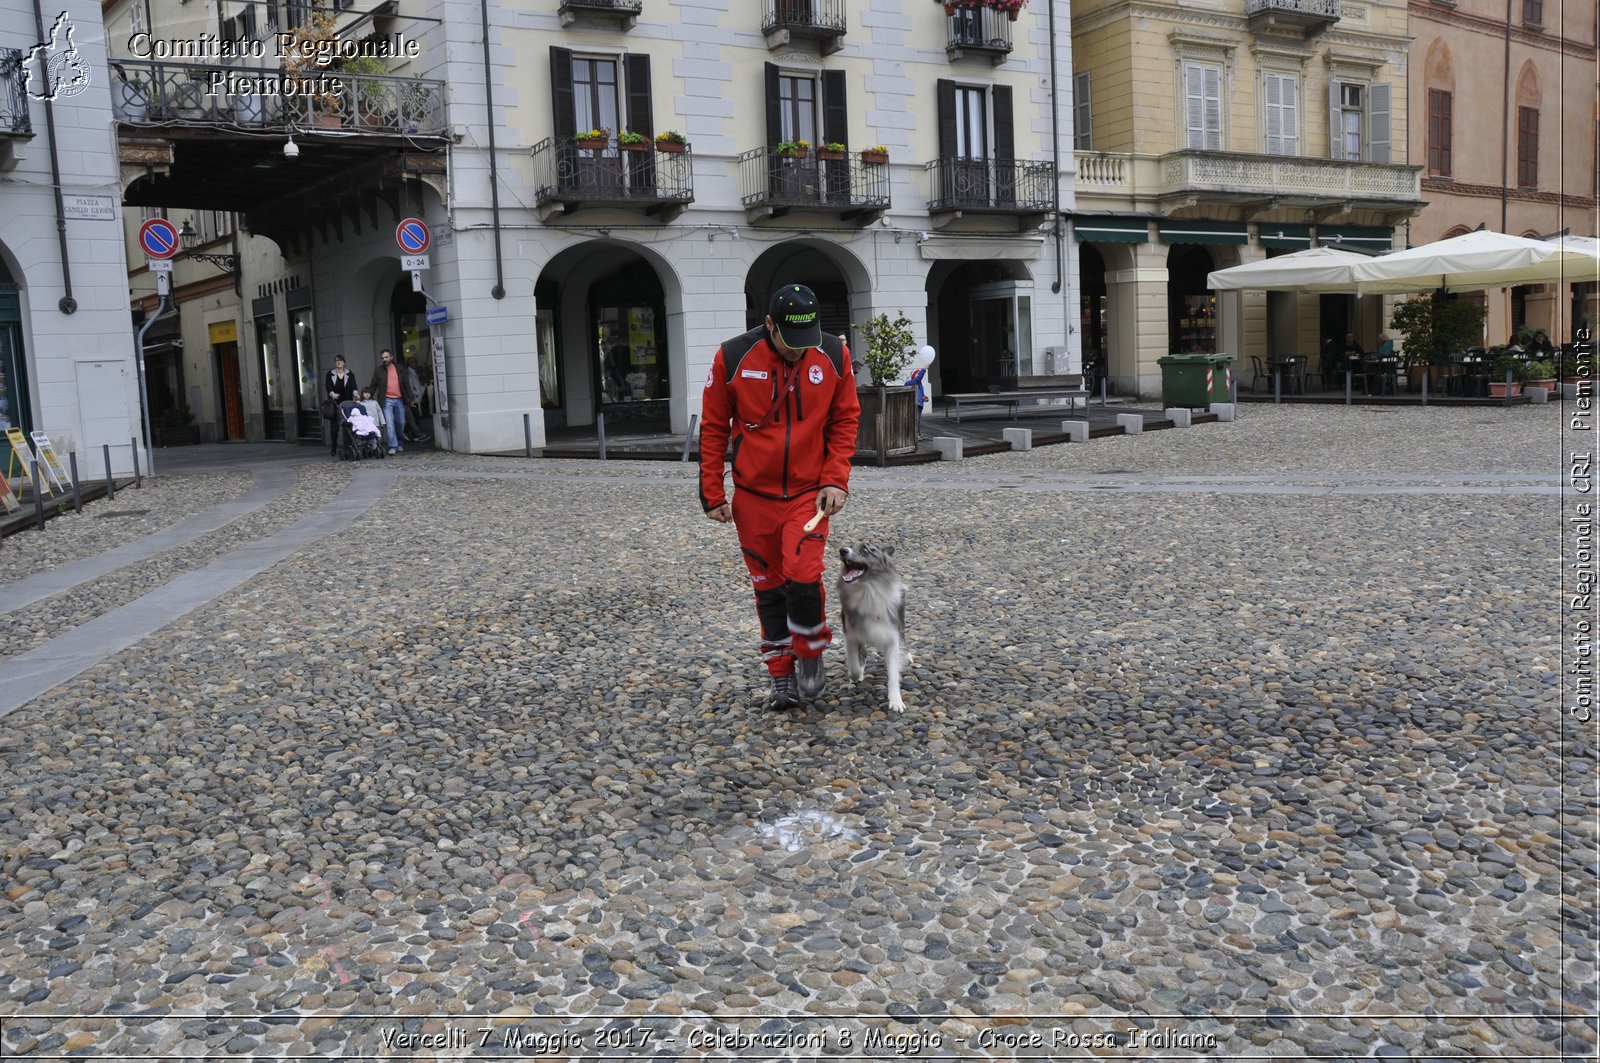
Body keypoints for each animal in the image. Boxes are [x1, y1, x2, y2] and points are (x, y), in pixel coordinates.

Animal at [838, 544, 915, 710]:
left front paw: (896, 701)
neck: (868, 590)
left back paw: (907, 655)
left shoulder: (892, 637)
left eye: (866, 549)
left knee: (904, 637)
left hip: (901, 620)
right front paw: (857, 674)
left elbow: (893, 673)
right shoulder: (851, 635)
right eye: (851, 546)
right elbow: (854, 663)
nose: (843, 550)